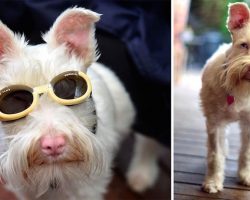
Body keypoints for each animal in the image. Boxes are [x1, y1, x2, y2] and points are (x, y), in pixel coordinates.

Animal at [201, 1, 250, 194]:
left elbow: (246, 152)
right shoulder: (215, 122)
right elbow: (215, 154)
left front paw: (245, 176)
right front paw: (213, 182)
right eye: (244, 45)